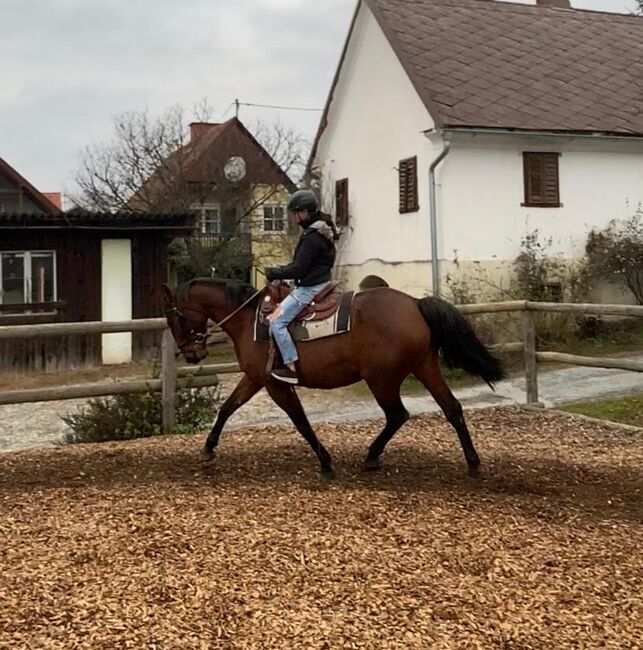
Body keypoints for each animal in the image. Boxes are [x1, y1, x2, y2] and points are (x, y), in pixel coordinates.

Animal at [161, 278, 504, 476]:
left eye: (173, 317)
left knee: (398, 414)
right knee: (451, 408)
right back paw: (472, 462)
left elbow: (300, 421)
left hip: (381, 379)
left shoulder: (274, 383)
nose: (191, 353)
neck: (248, 319)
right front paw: (208, 449)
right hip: (424, 367)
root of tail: (416, 304)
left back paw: (372, 455)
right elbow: (227, 408)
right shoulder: (256, 379)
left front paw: (325, 461)